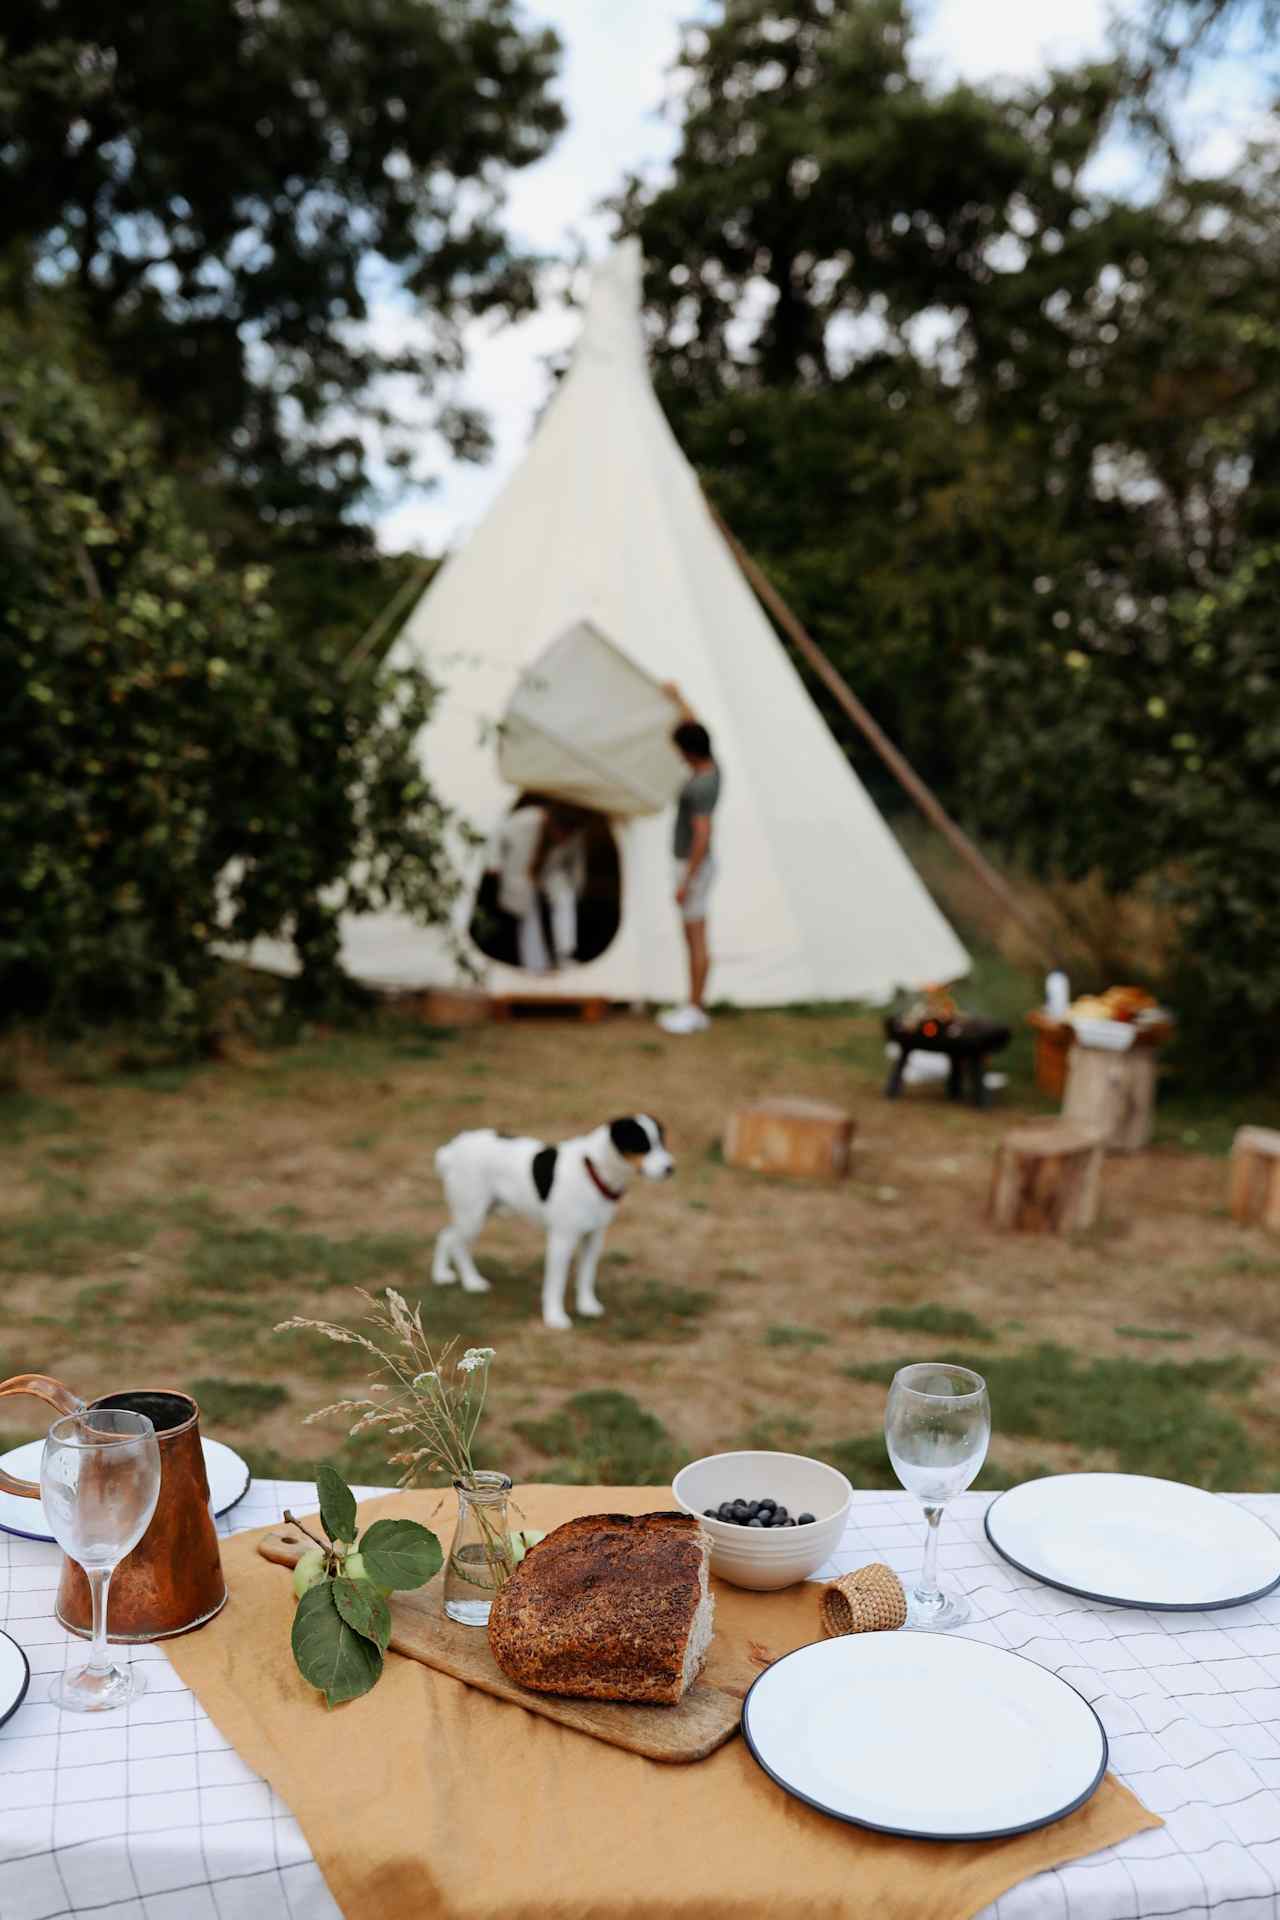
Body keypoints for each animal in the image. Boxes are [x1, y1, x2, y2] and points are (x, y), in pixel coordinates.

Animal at [433, 1121, 675, 1328]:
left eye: (661, 1142)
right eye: (643, 1144)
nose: (670, 1168)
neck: (592, 1172)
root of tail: (452, 1150)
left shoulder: (594, 1237)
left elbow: (587, 1275)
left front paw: (587, 1306)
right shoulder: (562, 1239)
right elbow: (555, 1284)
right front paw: (555, 1317)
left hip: (476, 1212)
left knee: (446, 1235)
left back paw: (441, 1274)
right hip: (472, 1214)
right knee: (456, 1242)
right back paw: (471, 1282)